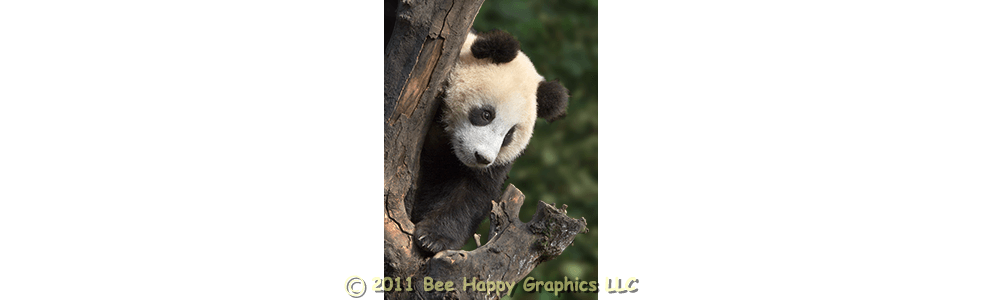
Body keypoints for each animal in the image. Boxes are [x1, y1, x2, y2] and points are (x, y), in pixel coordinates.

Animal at [412, 29, 572, 254]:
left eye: (509, 135)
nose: (482, 158)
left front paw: (434, 238)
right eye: (487, 114)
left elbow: (473, 192)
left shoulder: (495, 165)